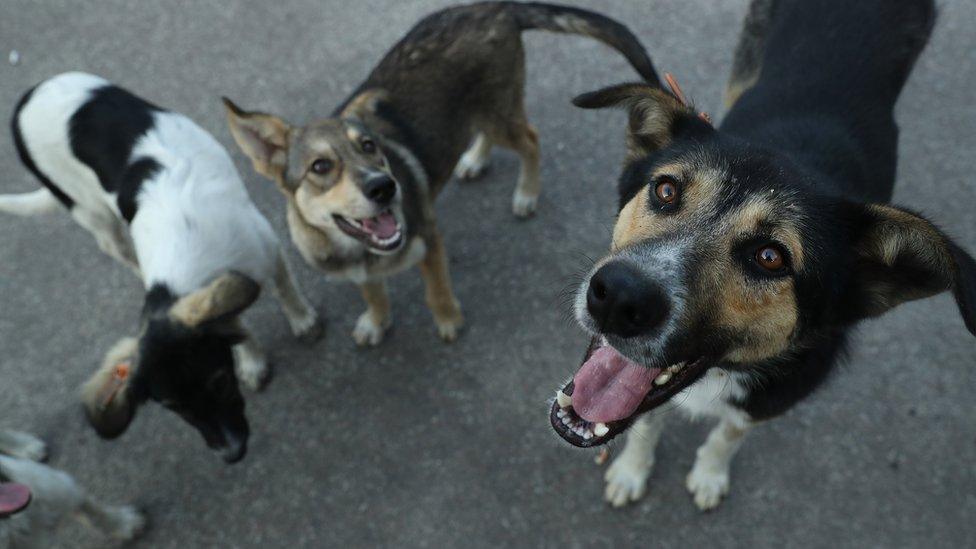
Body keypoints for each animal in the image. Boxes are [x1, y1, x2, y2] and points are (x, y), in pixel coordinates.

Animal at [3, 70, 322, 460]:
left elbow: (283, 287)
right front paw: (251, 358)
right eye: (173, 407)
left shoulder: (264, 244)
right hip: (94, 217)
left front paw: (302, 320)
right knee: (117, 247)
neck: (182, 274)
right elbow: (235, 322)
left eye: (219, 382)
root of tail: (25, 101)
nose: (230, 454)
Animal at [225, 0, 660, 344]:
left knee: (530, 140)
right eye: (320, 166)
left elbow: (435, 290)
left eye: (369, 147)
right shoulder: (359, 270)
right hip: (477, 112)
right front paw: (377, 321)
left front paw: (449, 320)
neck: (358, 247)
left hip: (497, 111)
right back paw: (474, 159)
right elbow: (373, 292)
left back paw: (526, 193)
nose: (385, 188)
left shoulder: (429, 239)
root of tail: (495, 7)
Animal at [548, 0, 976, 510]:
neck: (722, 372)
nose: (617, 297)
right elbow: (648, 420)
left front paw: (709, 473)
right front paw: (633, 470)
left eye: (770, 257)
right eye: (666, 191)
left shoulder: (769, 401)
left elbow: (728, 434)